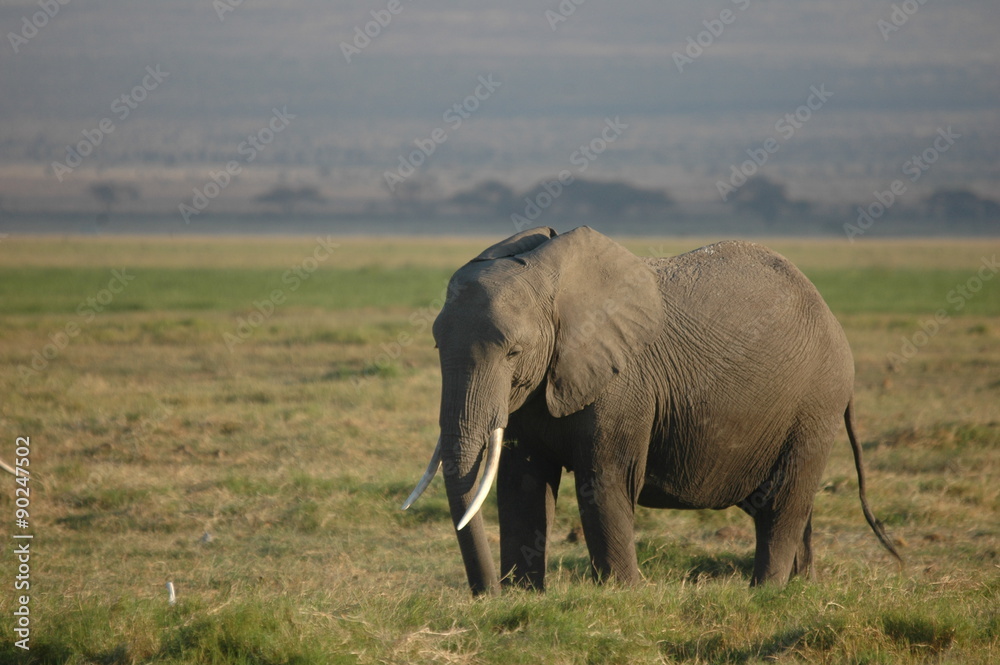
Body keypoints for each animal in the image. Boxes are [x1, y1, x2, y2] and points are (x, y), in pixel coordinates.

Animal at [403, 226, 901, 595]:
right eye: (436, 346)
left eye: (513, 352)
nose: (484, 595)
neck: (554, 276)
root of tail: (831, 316)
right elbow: (521, 482)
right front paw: (524, 598)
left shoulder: (624, 383)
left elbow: (605, 481)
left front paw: (623, 596)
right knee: (779, 504)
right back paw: (803, 589)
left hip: (815, 405)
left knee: (783, 502)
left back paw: (766, 594)